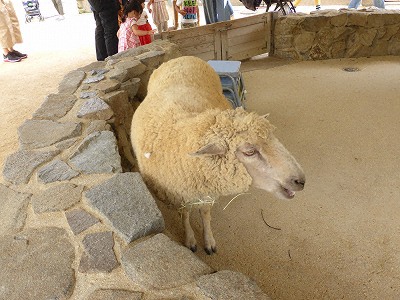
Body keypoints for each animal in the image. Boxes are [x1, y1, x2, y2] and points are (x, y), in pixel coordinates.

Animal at [132, 55, 306, 253]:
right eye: (249, 151)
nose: (300, 181)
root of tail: (182, 57)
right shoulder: (179, 194)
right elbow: (185, 215)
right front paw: (190, 239)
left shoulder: (207, 191)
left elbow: (205, 213)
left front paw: (209, 240)